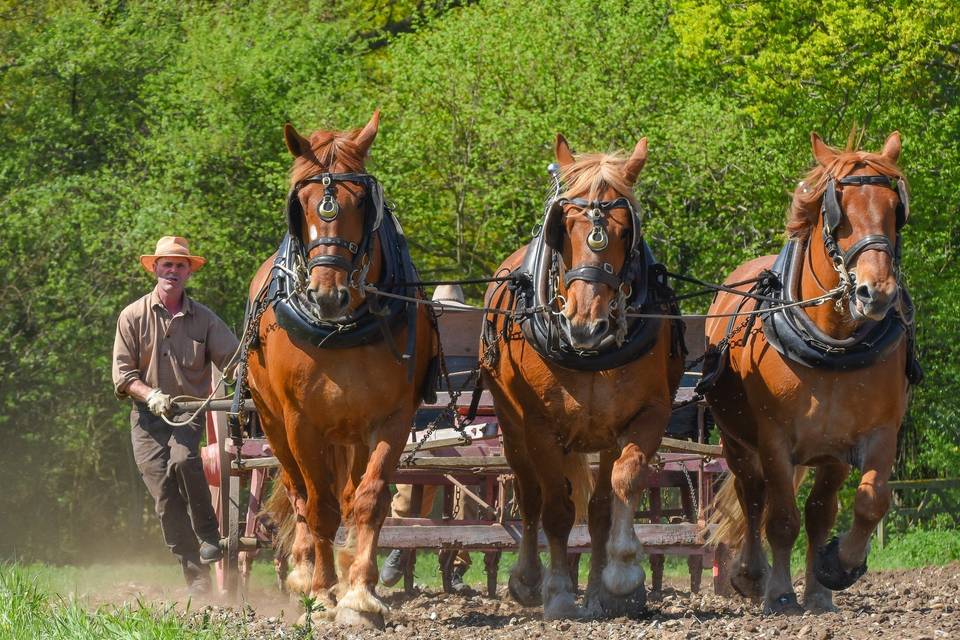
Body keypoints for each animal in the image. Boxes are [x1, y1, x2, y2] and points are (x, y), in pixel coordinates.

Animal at [246, 112, 434, 628]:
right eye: (301, 203)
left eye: (361, 202)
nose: (328, 294)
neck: (342, 326)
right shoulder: (300, 422)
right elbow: (319, 507)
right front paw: (322, 592)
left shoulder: (394, 418)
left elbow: (368, 500)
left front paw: (360, 595)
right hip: (274, 423)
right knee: (299, 494)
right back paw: (303, 570)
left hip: (350, 433)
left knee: (348, 493)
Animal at [484, 136, 688, 620]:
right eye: (565, 226)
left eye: (625, 231)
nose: (585, 326)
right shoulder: (540, 427)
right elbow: (557, 509)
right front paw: (558, 593)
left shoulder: (648, 414)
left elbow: (623, 484)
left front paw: (621, 578)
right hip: (511, 426)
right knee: (530, 496)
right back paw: (529, 581)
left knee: (597, 509)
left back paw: (597, 593)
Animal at [708, 131, 920, 616]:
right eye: (837, 209)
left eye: (894, 208)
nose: (877, 293)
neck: (832, 344)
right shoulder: (774, 439)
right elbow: (781, 519)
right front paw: (780, 594)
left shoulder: (872, 435)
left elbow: (866, 502)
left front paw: (835, 569)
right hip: (737, 441)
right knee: (753, 498)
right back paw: (753, 575)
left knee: (815, 510)